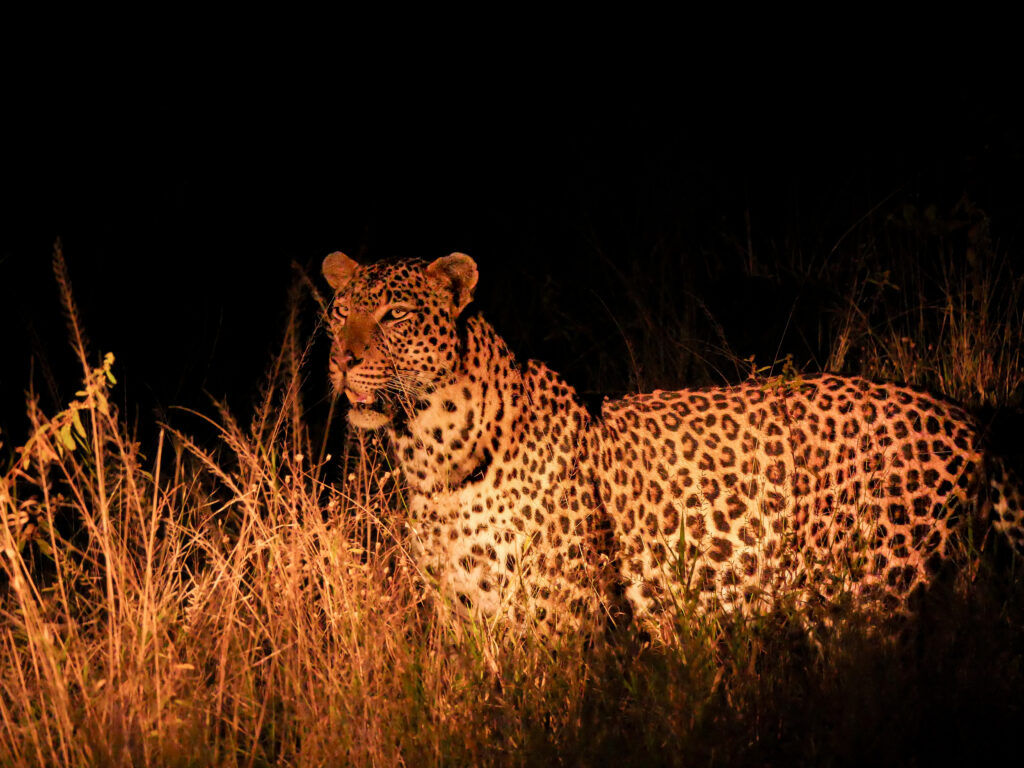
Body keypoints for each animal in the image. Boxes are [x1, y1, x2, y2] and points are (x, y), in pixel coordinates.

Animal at [322, 250, 1024, 637]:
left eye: (395, 316)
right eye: (338, 313)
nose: (341, 360)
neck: (429, 453)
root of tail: (969, 419)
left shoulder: (564, 617)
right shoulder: (469, 617)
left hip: (877, 597)